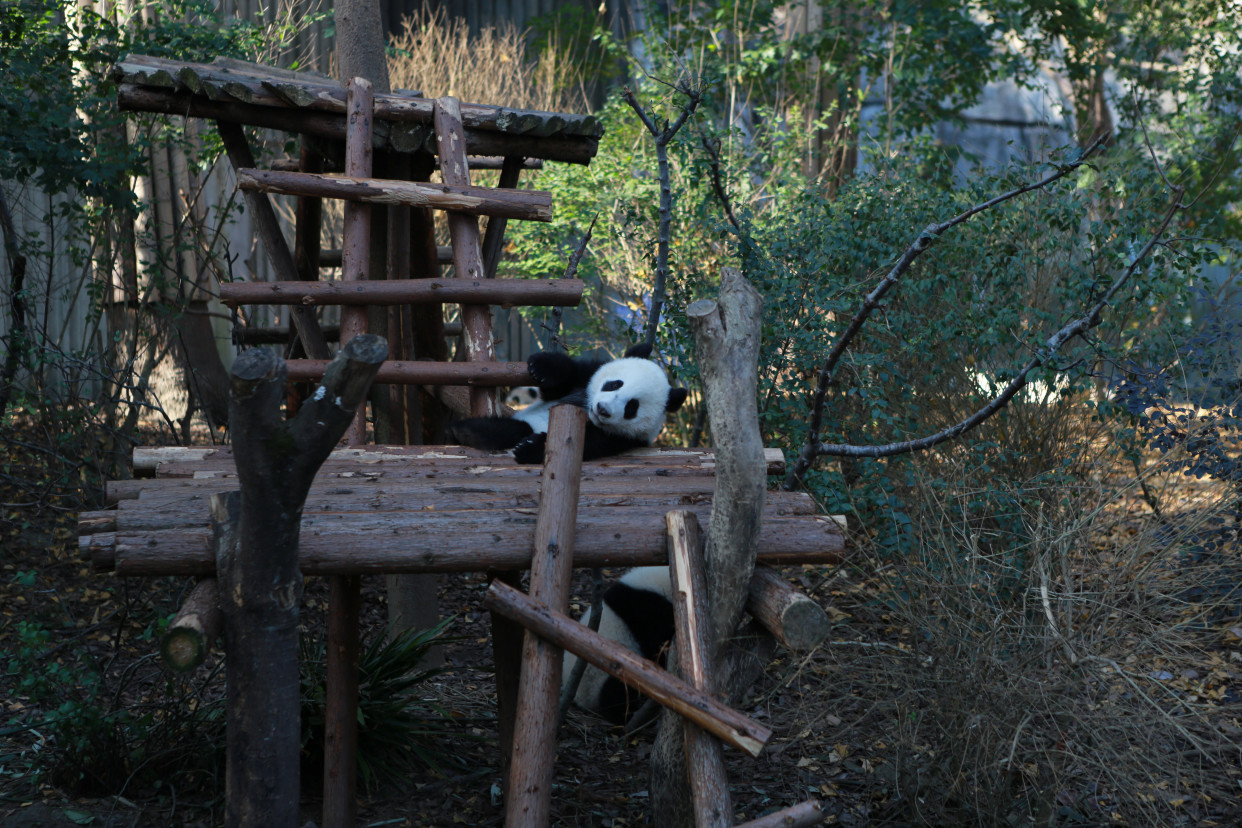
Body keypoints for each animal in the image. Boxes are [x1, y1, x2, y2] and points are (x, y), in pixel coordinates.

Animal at [447, 342, 685, 466]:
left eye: (631, 408)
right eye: (614, 384)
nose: (602, 409)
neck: (585, 408)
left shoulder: (621, 438)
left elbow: (585, 443)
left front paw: (530, 448)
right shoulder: (585, 377)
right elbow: (566, 379)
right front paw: (542, 367)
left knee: (512, 429)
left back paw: (470, 433)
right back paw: (463, 431)